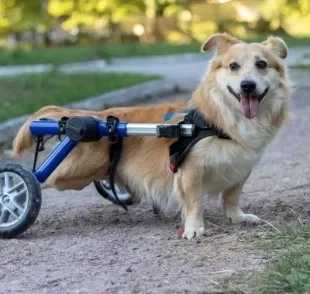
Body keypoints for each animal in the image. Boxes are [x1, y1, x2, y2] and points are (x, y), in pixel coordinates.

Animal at [12, 33, 294, 239]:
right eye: (233, 66)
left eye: (262, 64)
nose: (247, 85)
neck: (220, 122)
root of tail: (90, 118)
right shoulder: (189, 170)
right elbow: (195, 202)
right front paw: (194, 228)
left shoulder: (241, 168)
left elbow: (232, 196)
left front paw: (237, 217)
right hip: (73, 172)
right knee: (36, 179)